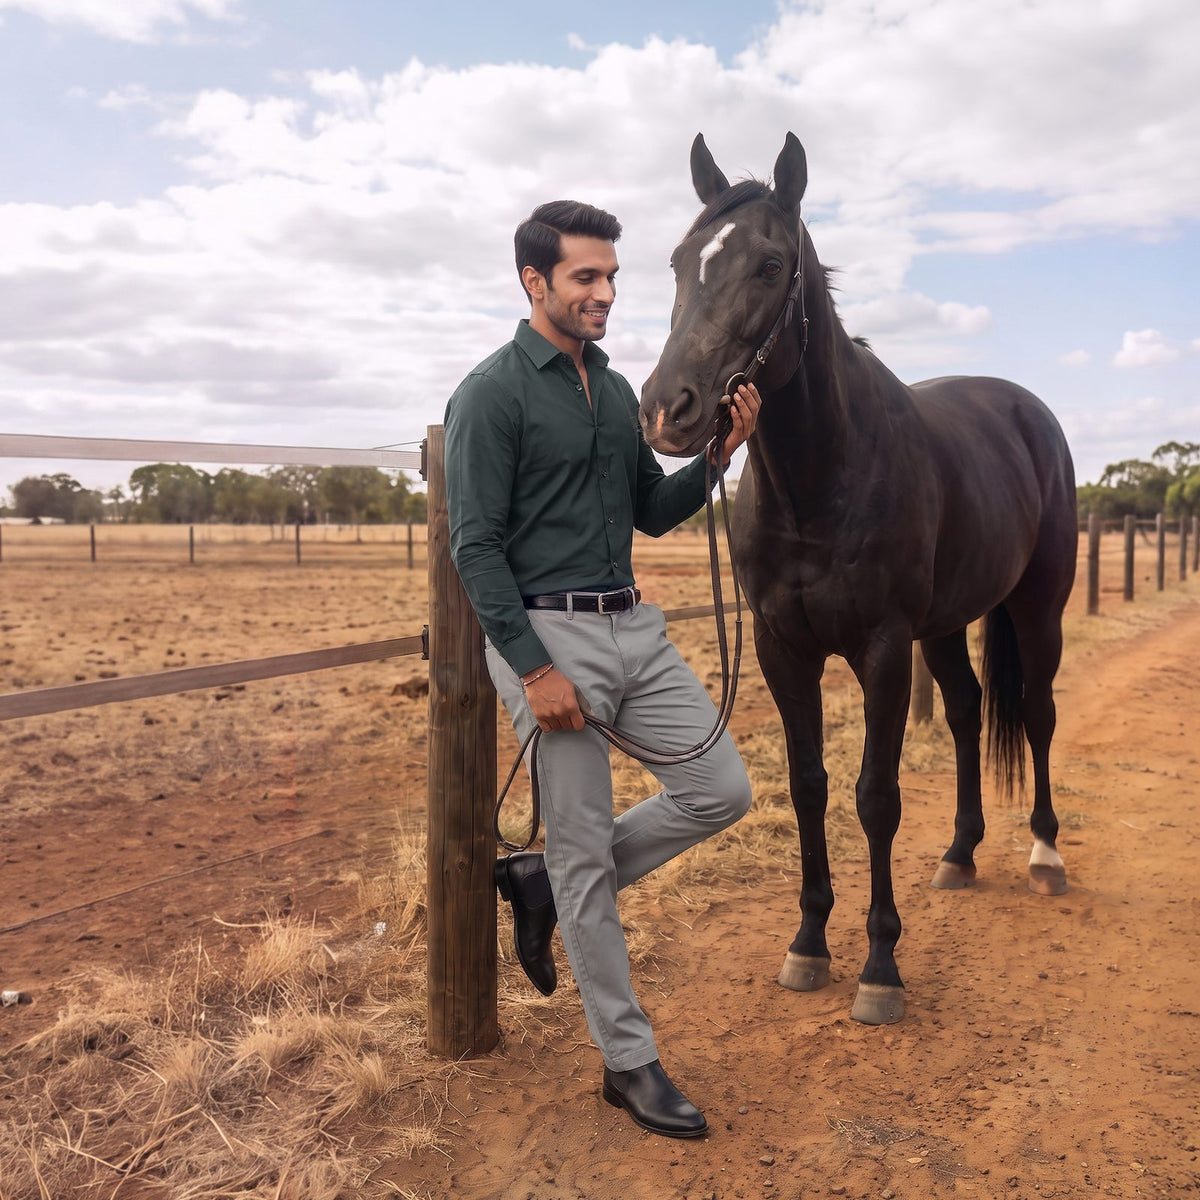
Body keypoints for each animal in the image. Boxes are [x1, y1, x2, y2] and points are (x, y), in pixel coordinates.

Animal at [639, 132, 1077, 1025]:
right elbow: (810, 786)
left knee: (1039, 714)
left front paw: (880, 967)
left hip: (1038, 607)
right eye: (677, 262)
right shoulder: (783, 649)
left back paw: (1045, 856)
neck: (823, 477)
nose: (669, 410)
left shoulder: (880, 649)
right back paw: (960, 853)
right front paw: (809, 943)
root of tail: (1028, 412)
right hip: (946, 625)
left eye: (771, 266)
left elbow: (876, 796)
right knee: (967, 711)